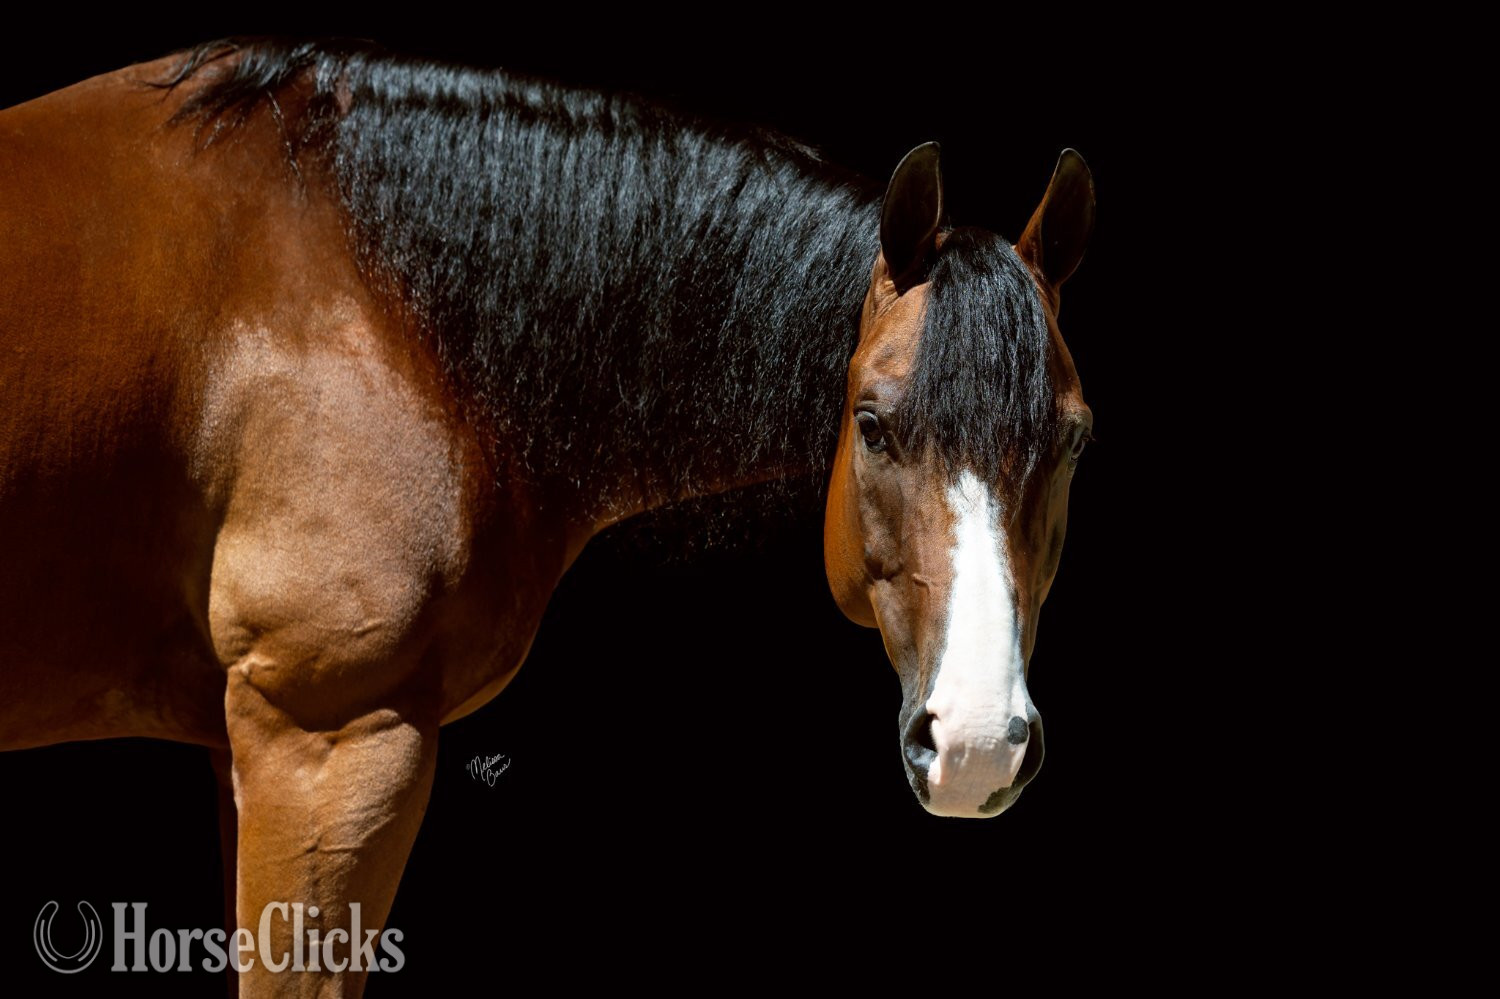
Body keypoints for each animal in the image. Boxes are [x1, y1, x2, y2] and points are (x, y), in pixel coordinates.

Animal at [0, 39, 1094, 994]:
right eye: (872, 425)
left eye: (1076, 440)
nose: (978, 744)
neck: (385, 303)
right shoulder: (325, 742)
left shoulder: (250, 747)